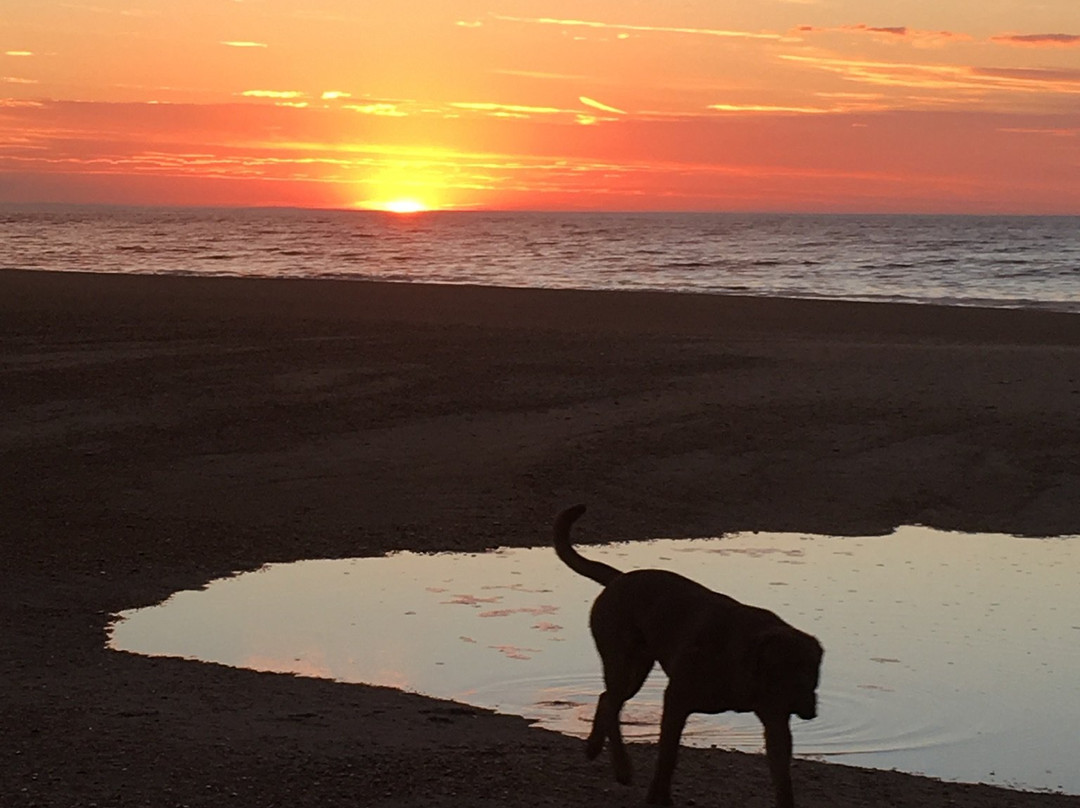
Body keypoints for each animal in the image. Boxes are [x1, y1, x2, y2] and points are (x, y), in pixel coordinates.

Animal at [552, 505, 820, 808]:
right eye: (782, 670)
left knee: (606, 698)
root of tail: (618, 578)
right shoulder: (677, 698)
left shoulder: (774, 718)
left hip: (637, 668)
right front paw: (658, 797)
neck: (742, 660)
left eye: (812, 671)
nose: (807, 709)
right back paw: (618, 765)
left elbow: (782, 775)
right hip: (621, 661)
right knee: (611, 701)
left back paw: (599, 749)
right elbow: (668, 757)